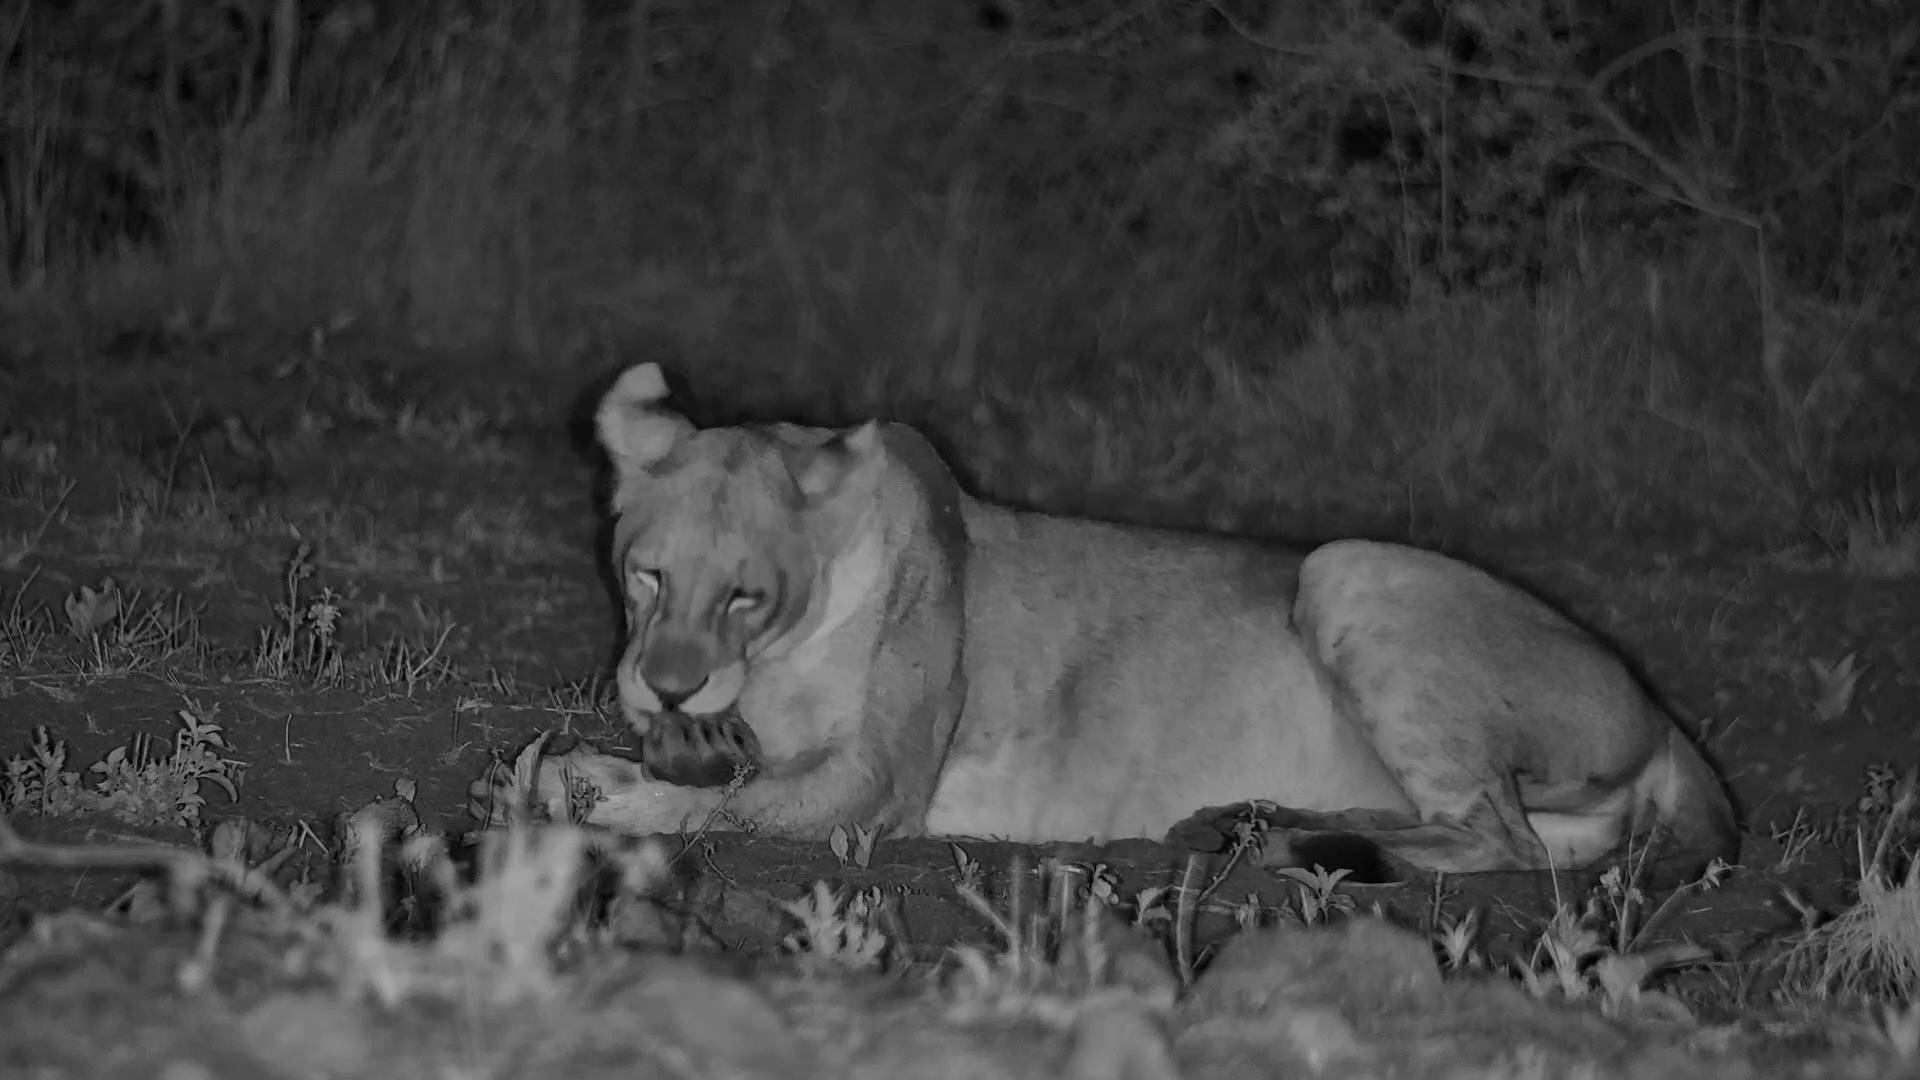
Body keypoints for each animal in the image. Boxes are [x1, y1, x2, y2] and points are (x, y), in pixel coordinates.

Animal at [470, 361, 1738, 876]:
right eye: (644, 574)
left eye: (745, 592)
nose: (668, 684)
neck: (777, 652)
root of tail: (1667, 718)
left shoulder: (875, 788)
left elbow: (724, 802)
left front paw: (585, 785)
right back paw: (1241, 825)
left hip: (1348, 568)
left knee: (1499, 840)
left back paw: (1283, 848)